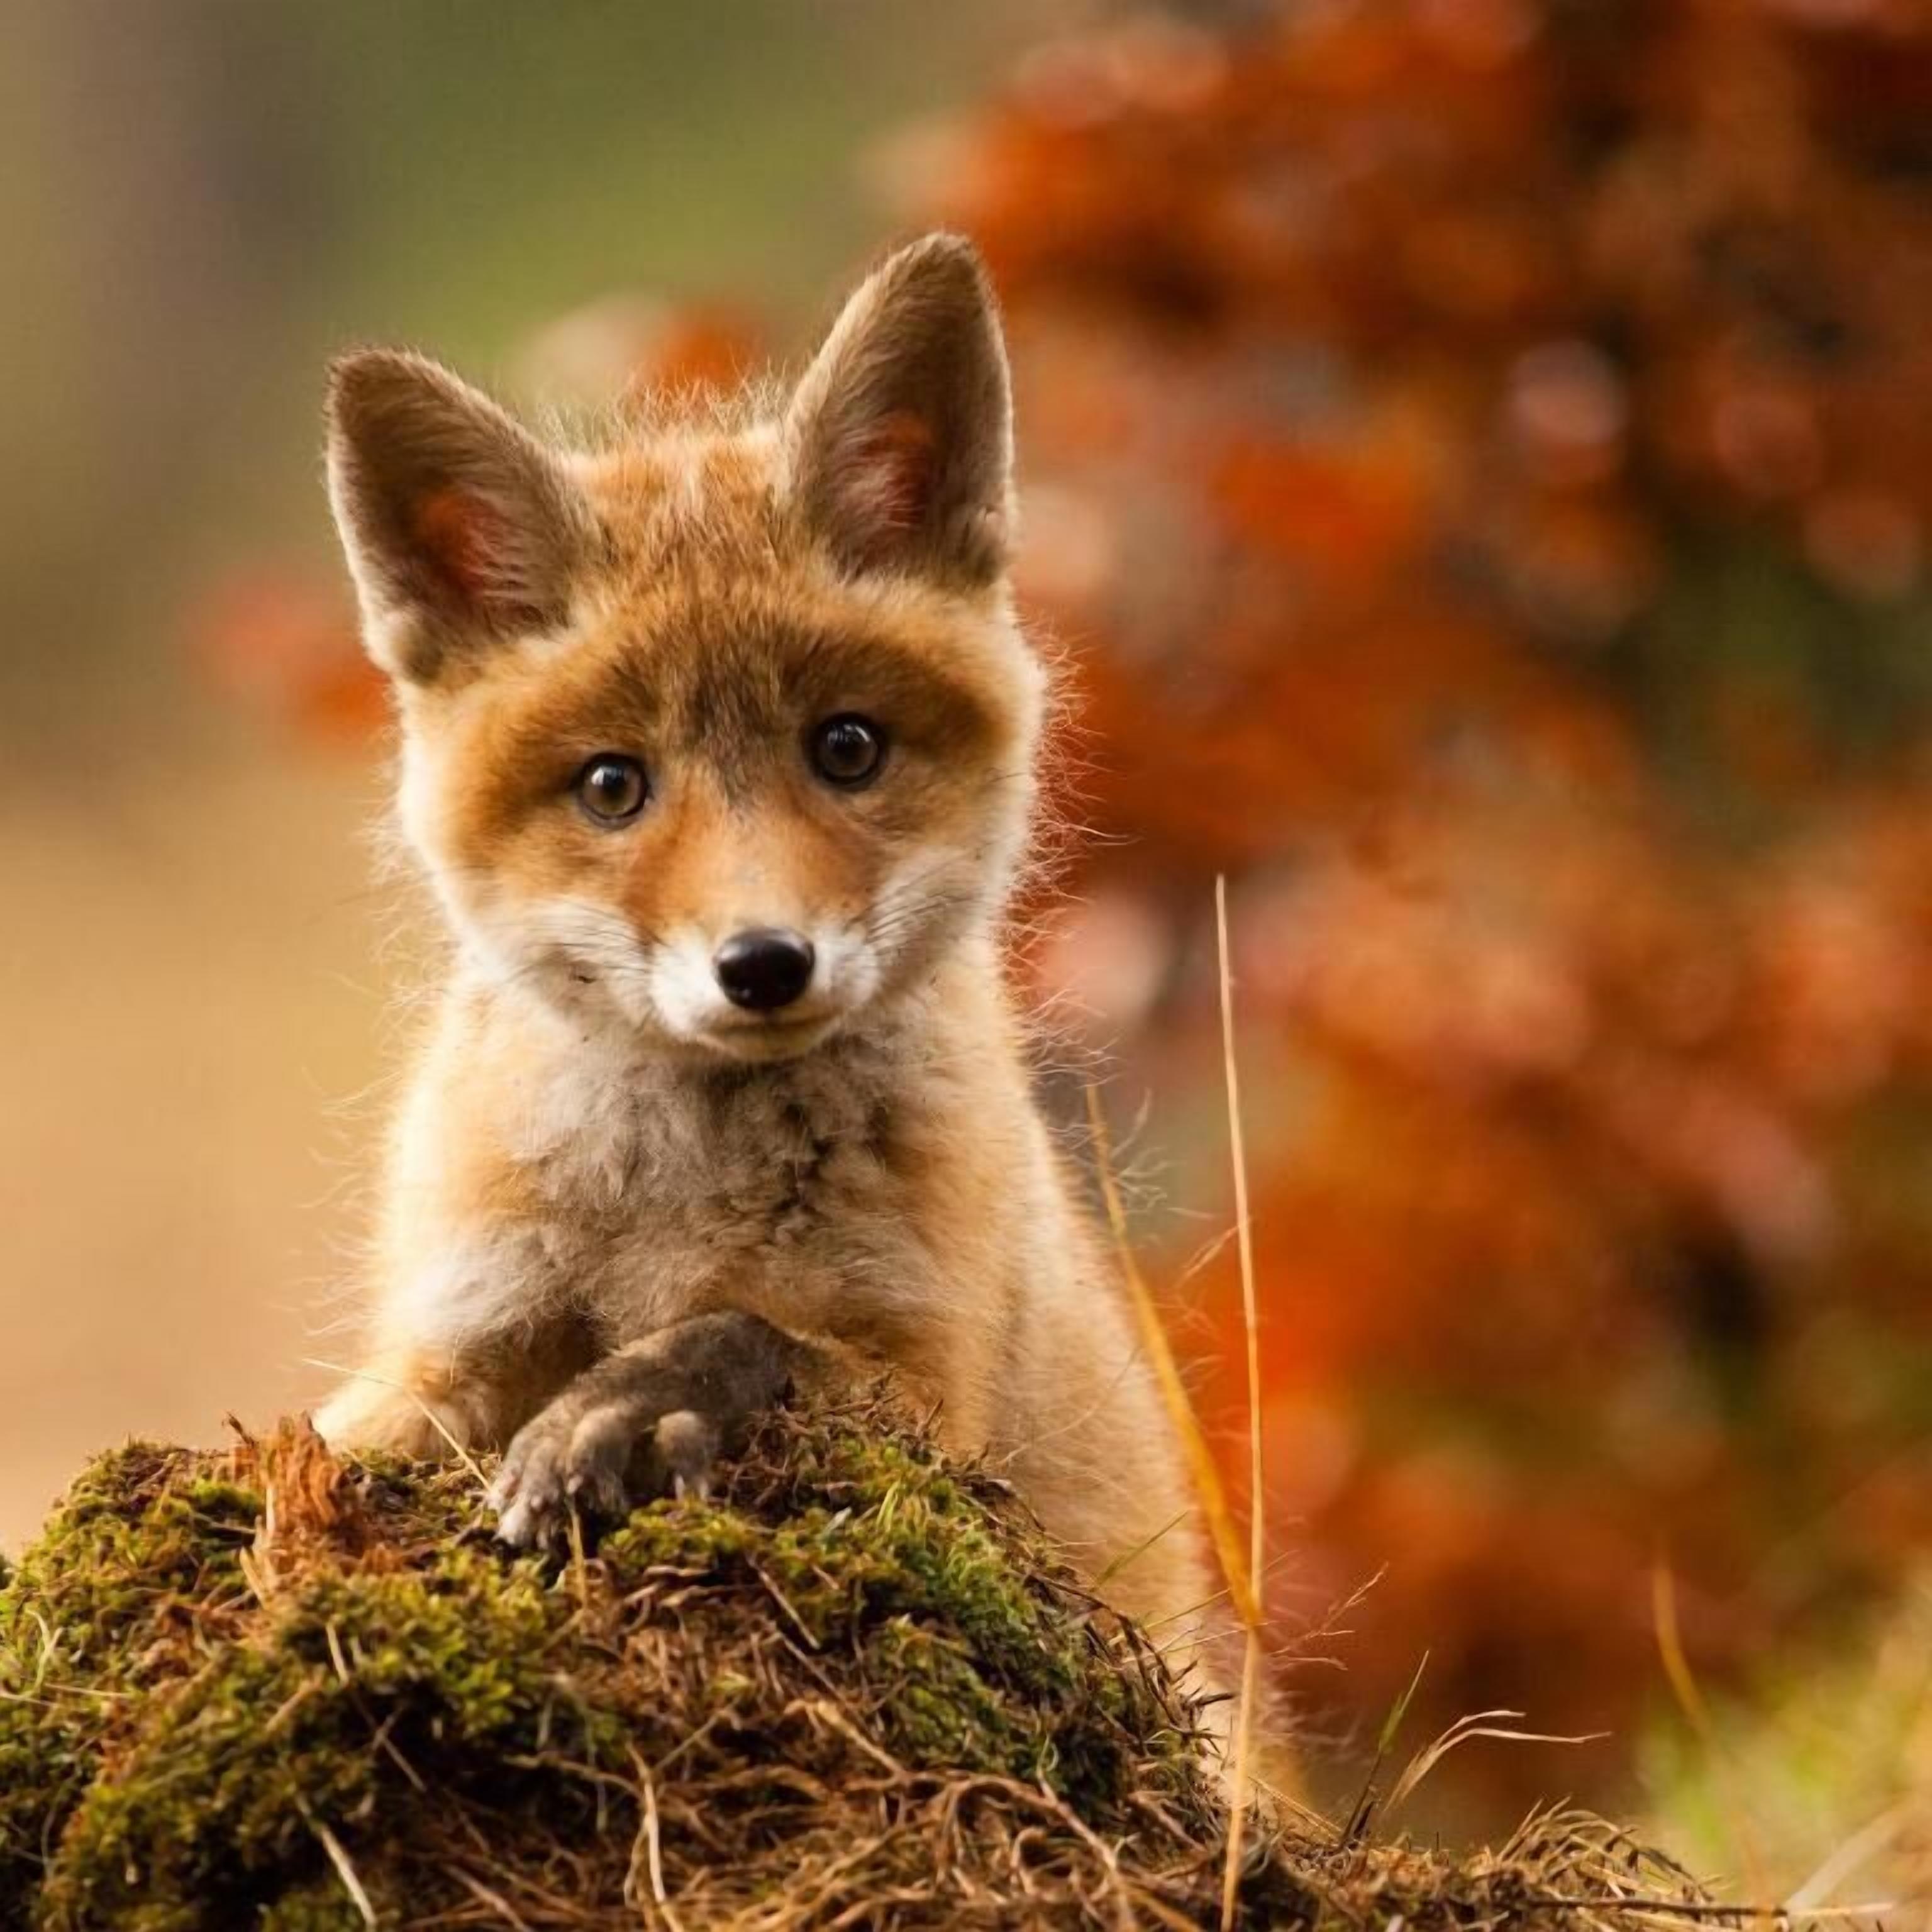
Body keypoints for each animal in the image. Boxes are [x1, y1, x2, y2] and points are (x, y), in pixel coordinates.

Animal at [312, 233, 1217, 1702]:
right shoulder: (446, 1345)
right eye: (613, 786)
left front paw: (627, 1414)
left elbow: (751, 1336)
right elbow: (334, 1439)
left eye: (845, 747)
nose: (763, 965)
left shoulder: (933, 1392)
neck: (674, 1206)